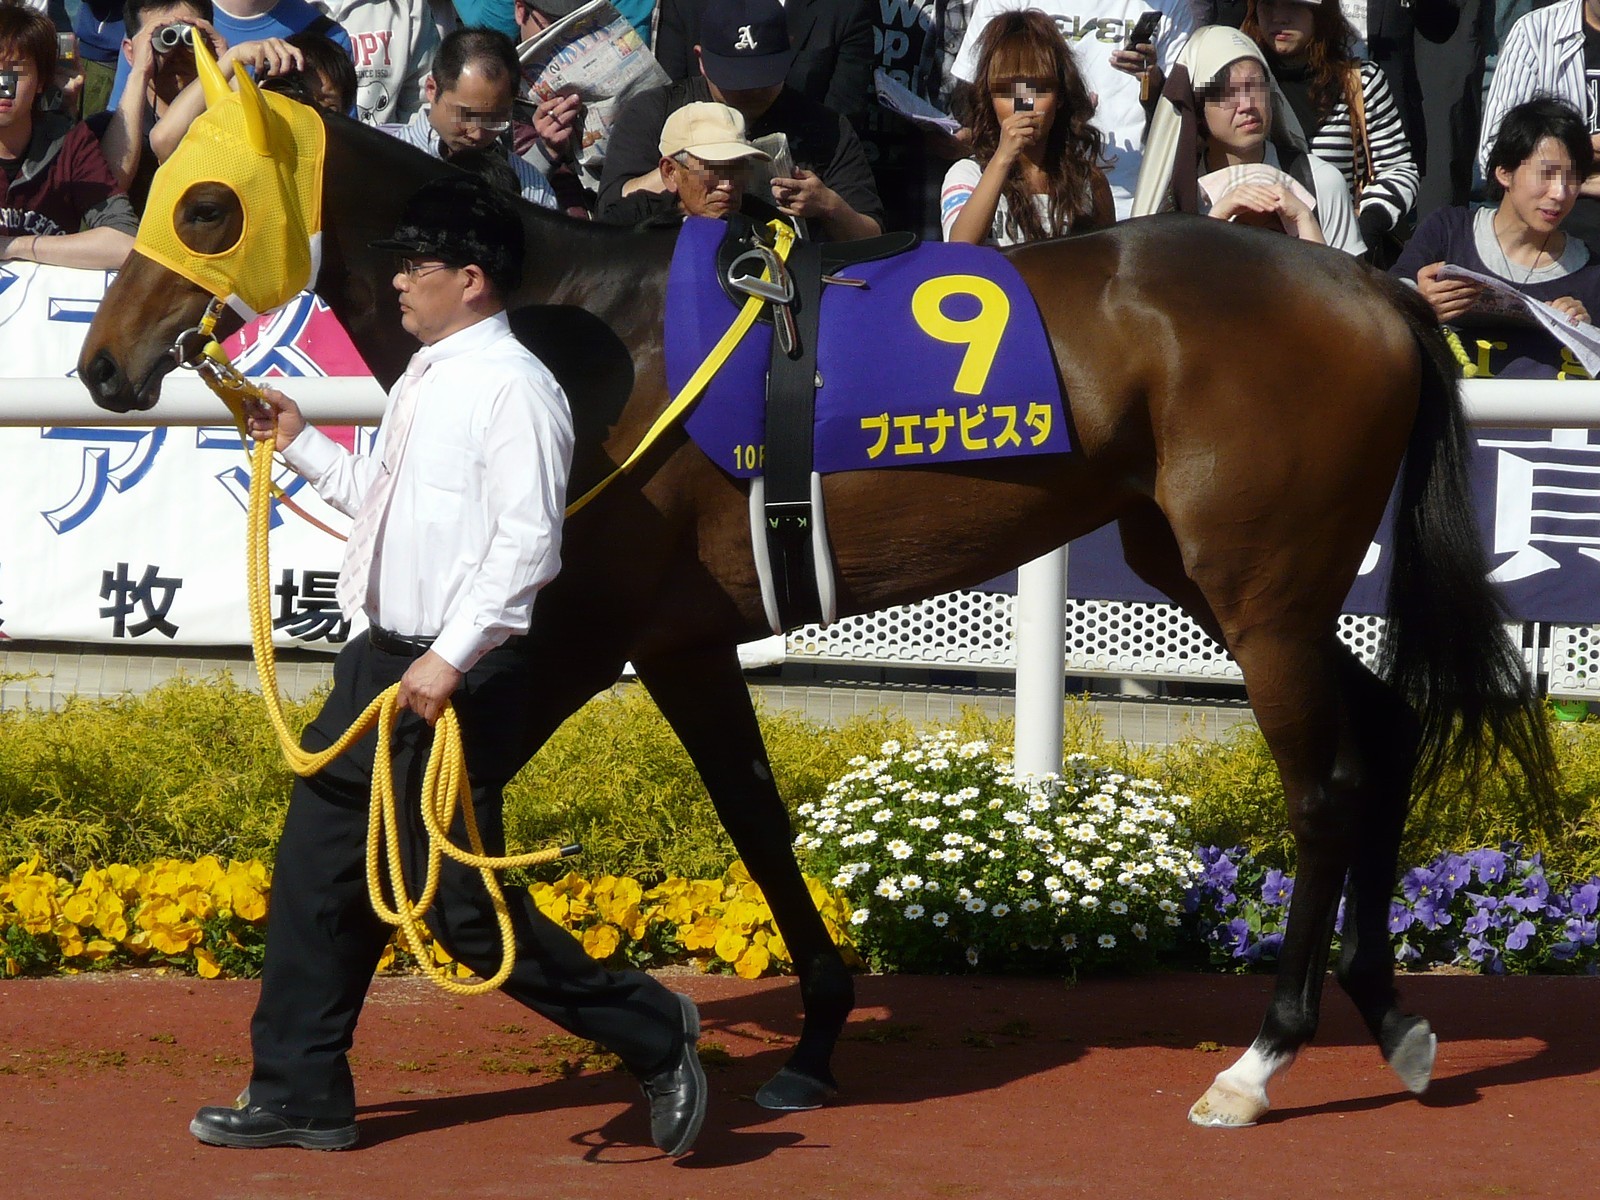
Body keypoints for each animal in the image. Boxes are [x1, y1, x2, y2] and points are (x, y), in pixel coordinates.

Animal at [81, 86, 1555, 1126]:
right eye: (148, 191)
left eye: (205, 208)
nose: (101, 365)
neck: (571, 325)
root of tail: (1370, 283)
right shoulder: (679, 637)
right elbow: (754, 818)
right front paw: (810, 1039)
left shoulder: (574, 631)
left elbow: (458, 807)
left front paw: (662, 1039)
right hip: (1215, 572)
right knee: (1386, 732)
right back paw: (1390, 1016)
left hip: (1257, 585)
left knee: (1324, 785)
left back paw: (1261, 1059)